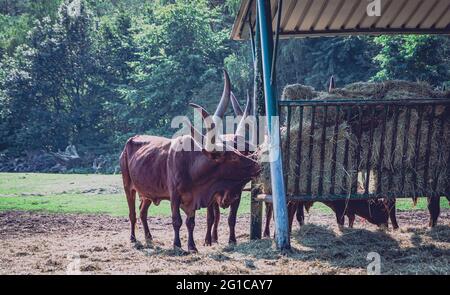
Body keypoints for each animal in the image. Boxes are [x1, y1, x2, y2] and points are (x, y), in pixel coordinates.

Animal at [119, 71, 262, 252]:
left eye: (239, 151)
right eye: (234, 157)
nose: (257, 164)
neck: (192, 167)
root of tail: (131, 140)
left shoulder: (194, 198)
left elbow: (191, 222)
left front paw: (192, 246)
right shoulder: (175, 196)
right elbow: (177, 220)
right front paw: (177, 245)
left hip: (147, 193)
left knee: (143, 211)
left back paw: (149, 238)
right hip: (128, 187)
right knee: (132, 213)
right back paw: (133, 238)